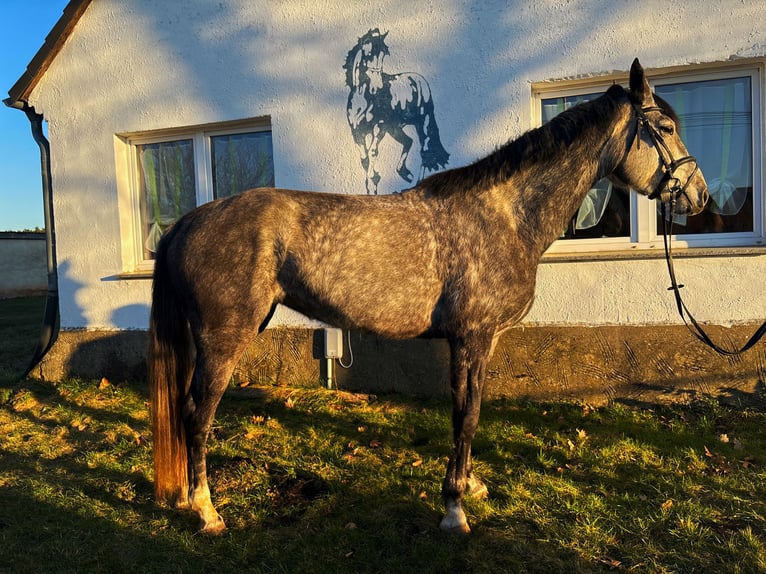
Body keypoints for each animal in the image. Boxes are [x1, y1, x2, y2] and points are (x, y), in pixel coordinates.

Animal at [149, 59, 708, 535]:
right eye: (664, 127)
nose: (699, 195)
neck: (505, 216)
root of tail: (185, 222)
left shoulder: (482, 342)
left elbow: (473, 410)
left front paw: (470, 486)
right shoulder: (469, 338)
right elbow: (466, 415)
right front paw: (454, 508)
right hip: (225, 337)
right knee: (197, 413)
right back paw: (206, 511)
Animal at [343, 29, 450, 194]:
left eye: (384, 54)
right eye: (368, 53)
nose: (377, 86)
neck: (364, 97)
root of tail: (420, 79)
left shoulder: (379, 127)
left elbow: (373, 152)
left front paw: (373, 180)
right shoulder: (356, 131)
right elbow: (364, 159)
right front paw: (371, 185)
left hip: (421, 122)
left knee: (424, 149)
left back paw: (415, 184)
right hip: (395, 129)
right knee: (409, 141)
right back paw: (405, 174)